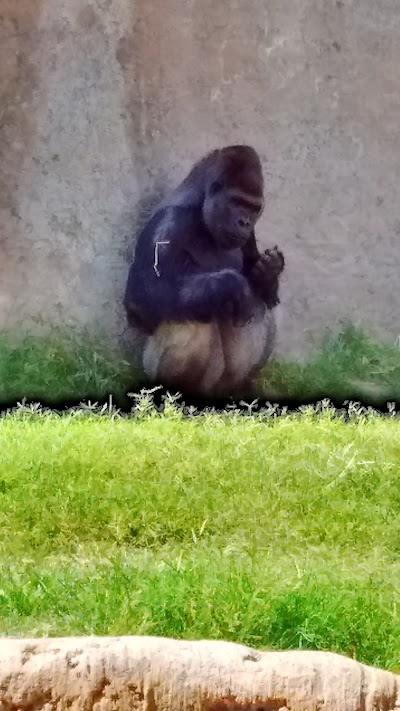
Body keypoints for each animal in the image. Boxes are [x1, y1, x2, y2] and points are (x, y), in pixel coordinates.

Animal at [124, 145, 284, 400]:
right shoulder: (169, 221)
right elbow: (143, 295)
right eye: (236, 201)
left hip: (225, 386)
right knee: (187, 321)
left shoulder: (249, 234)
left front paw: (268, 273)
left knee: (263, 307)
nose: (244, 222)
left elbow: (262, 289)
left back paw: (244, 387)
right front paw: (232, 285)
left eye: (253, 208)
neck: (200, 206)